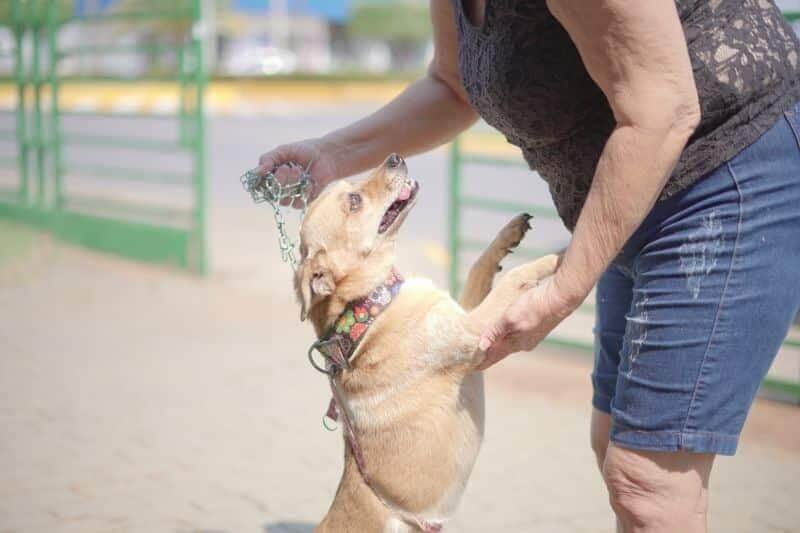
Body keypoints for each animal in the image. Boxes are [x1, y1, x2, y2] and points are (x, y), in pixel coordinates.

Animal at [296, 152, 564, 528]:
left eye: (352, 188)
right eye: (354, 201)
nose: (395, 157)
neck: (370, 307)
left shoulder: (464, 315)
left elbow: (478, 267)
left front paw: (509, 234)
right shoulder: (473, 329)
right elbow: (516, 277)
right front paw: (559, 255)